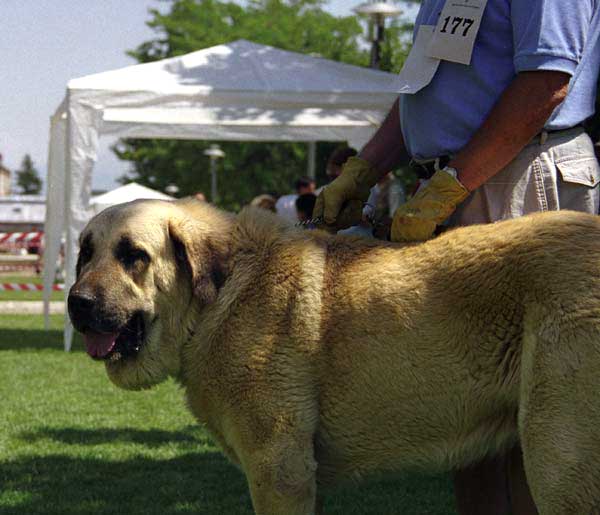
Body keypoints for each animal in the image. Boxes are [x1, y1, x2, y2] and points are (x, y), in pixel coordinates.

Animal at [68, 200, 600, 512]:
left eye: (133, 255)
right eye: (84, 253)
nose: (77, 303)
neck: (221, 295)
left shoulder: (279, 469)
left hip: (558, 457)